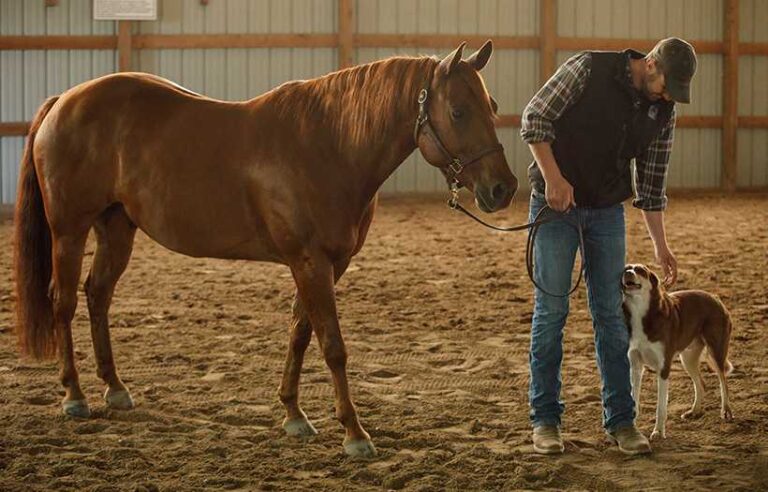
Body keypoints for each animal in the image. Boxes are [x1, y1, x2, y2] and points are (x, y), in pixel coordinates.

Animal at [15, 41, 516, 458]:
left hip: (117, 229)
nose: (503, 189)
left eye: (491, 107)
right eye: (457, 111)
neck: (330, 144)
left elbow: (300, 333)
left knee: (97, 295)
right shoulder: (310, 263)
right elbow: (333, 346)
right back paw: (74, 396)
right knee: (63, 303)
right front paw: (354, 434)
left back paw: (115, 388)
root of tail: (63, 101)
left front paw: (294, 414)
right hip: (69, 231)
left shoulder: (325, 265)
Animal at [620, 264, 736, 440]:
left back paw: (726, 411)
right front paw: (631, 427)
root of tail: (715, 297)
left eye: (640, 270)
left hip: (716, 350)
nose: (627, 272)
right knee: (701, 383)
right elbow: (634, 399)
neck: (641, 313)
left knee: (723, 382)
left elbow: (661, 406)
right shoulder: (635, 366)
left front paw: (658, 432)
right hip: (687, 358)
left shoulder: (663, 368)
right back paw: (694, 411)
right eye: (626, 268)